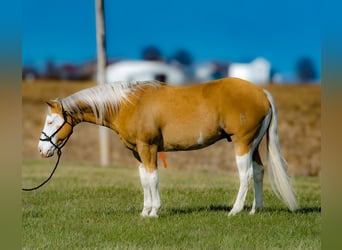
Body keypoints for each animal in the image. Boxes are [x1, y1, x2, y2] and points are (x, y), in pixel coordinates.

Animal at [38, 77, 298, 217]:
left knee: (246, 175)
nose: (42, 151)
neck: (128, 104)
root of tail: (261, 93)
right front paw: (144, 212)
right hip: (253, 145)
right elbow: (144, 180)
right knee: (259, 172)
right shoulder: (137, 152)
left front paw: (154, 211)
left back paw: (235, 211)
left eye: (51, 121)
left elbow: (153, 179)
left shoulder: (149, 148)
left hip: (242, 144)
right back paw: (255, 210)